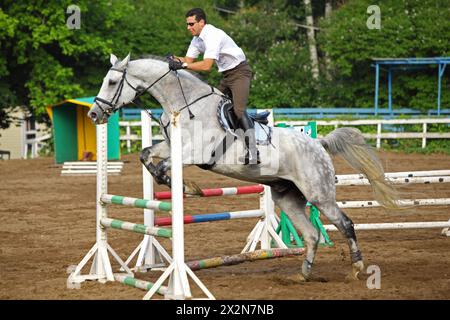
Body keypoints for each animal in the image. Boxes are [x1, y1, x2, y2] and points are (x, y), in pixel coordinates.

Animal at [89, 55, 400, 282]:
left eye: (112, 81)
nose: (94, 114)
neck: (186, 105)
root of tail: (318, 144)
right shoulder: (171, 145)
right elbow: (146, 155)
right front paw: (183, 185)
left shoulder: (195, 152)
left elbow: (164, 166)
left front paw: (187, 187)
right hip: (287, 196)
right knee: (311, 234)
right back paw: (302, 275)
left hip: (319, 194)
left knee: (345, 223)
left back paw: (357, 269)